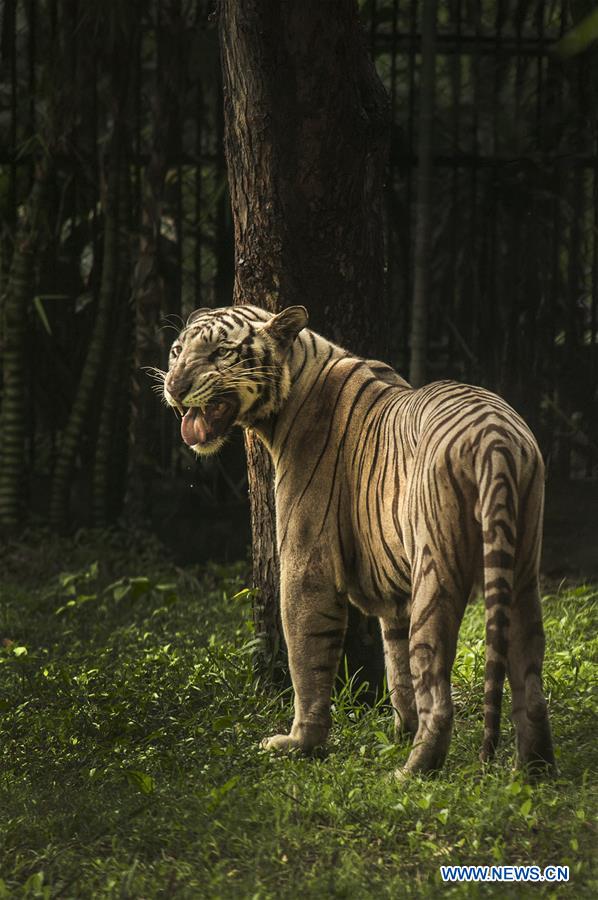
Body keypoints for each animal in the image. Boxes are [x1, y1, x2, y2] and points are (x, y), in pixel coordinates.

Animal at [161, 303, 555, 776]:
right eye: (177, 351)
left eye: (221, 352)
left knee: (437, 687)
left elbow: (308, 655)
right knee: (528, 676)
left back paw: (412, 771)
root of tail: (493, 437)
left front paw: (301, 742)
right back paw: (534, 770)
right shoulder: (396, 593)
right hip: (521, 568)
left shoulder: (306, 562)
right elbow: (397, 666)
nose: (175, 386)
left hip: (436, 572)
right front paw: (398, 730)